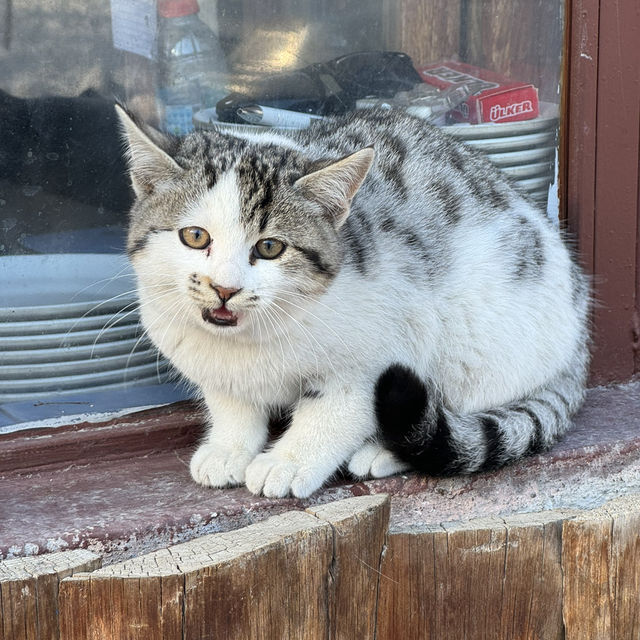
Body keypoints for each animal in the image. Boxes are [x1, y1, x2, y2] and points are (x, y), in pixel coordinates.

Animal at [116, 104, 592, 500]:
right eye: (195, 237)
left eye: (269, 247)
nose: (225, 288)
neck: (253, 339)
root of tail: (578, 330)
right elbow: (231, 400)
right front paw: (228, 447)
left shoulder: (379, 350)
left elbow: (336, 410)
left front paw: (288, 461)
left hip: (478, 333)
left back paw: (383, 452)